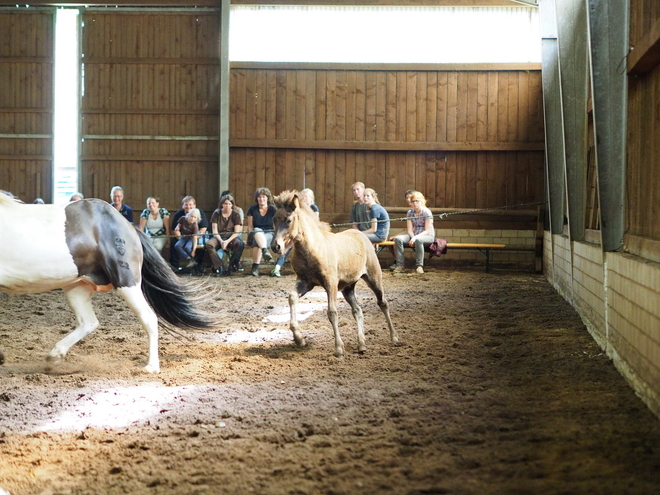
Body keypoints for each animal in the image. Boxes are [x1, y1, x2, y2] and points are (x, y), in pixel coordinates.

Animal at [0, 194, 211, 372]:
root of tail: (129, 227)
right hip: (77, 287)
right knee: (89, 322)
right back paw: (55, 355)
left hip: (126, 282)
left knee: (148, 317)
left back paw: (151, 366)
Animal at [270, 190, 398, 356]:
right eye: (274, 219)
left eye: (288, 220)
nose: (275, 246)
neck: (312, 248)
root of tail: (361, 235)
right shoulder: (305, 282)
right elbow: (292, 298)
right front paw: (299, 339)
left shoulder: (330, 283)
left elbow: (332, 312)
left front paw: (338, 348)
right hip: (348, 287)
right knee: (357, 310)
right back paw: (361, 345)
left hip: (373, 278)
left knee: (383, 303)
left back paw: (394, 338)